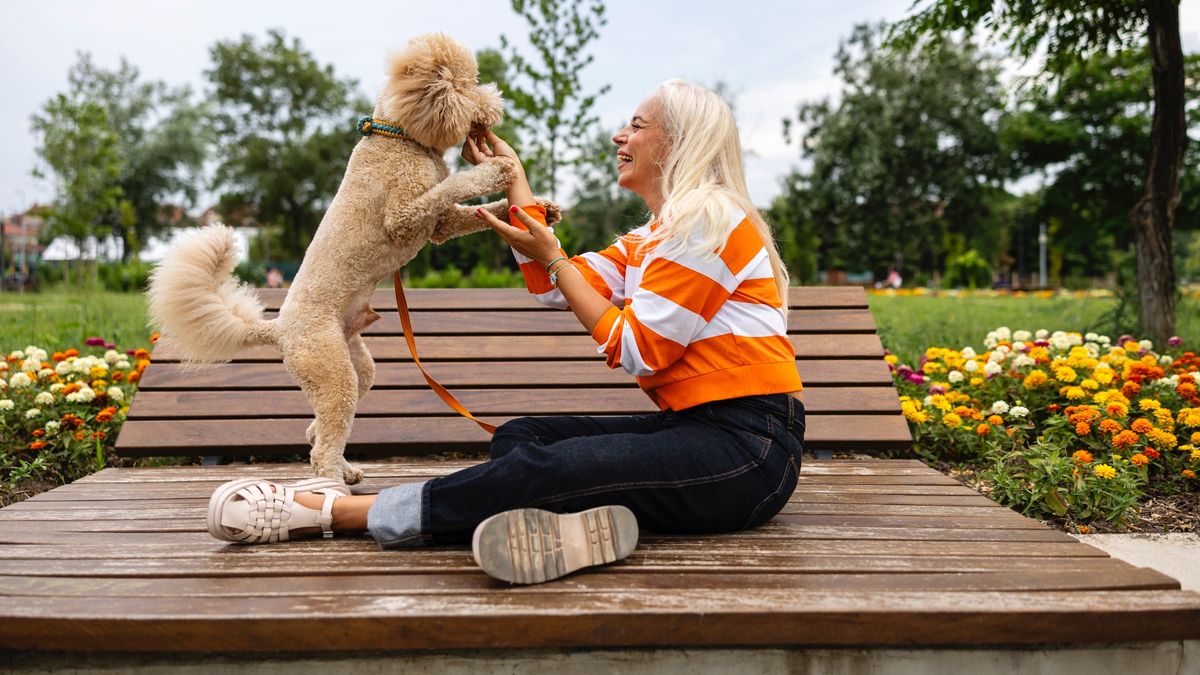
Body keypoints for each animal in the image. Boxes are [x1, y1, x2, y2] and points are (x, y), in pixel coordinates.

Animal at [148, 34, 556, 480]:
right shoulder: (405, 216)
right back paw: (331, 480)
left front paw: (541, 209)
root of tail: (277, 329)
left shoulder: (438, 224)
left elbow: (468, 209)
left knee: (326, 425)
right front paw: (495, 170)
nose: (497, 105)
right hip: (331, 370)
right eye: (467, 85)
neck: (398, 138)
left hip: (356, 367)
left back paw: (338, 462)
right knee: (326, 439)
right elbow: (453, 186)